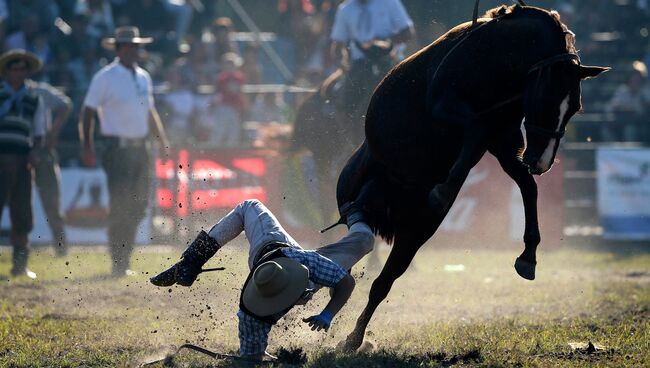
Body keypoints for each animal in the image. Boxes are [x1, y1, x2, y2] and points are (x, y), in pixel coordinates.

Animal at [334, 1, 608, 350]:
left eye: (575, 107)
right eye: (547, 96)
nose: (542, 161)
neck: (499, 59)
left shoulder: (503, 144)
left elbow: (527, 186)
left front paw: (528, 257)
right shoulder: (445, 106)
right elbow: (475, 128)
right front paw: (445, 189)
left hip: (415, 231)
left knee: (383, 281)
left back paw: (354, 338)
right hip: (357, 195)